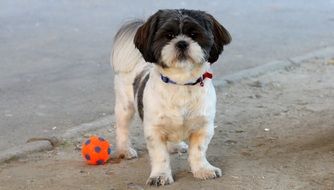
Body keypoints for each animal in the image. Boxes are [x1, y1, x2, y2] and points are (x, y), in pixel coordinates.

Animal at [111, 8, 231, 186]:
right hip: (124, 107)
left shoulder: (204, 127)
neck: (181, 83)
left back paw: (175, 145)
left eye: (194, 34)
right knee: (123, 129)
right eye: (168, 35)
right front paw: (160, 175)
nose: (182, 43)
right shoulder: (154, 130)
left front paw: (203, 169)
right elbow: (160, 155)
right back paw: (125, 149)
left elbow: (198, 151)